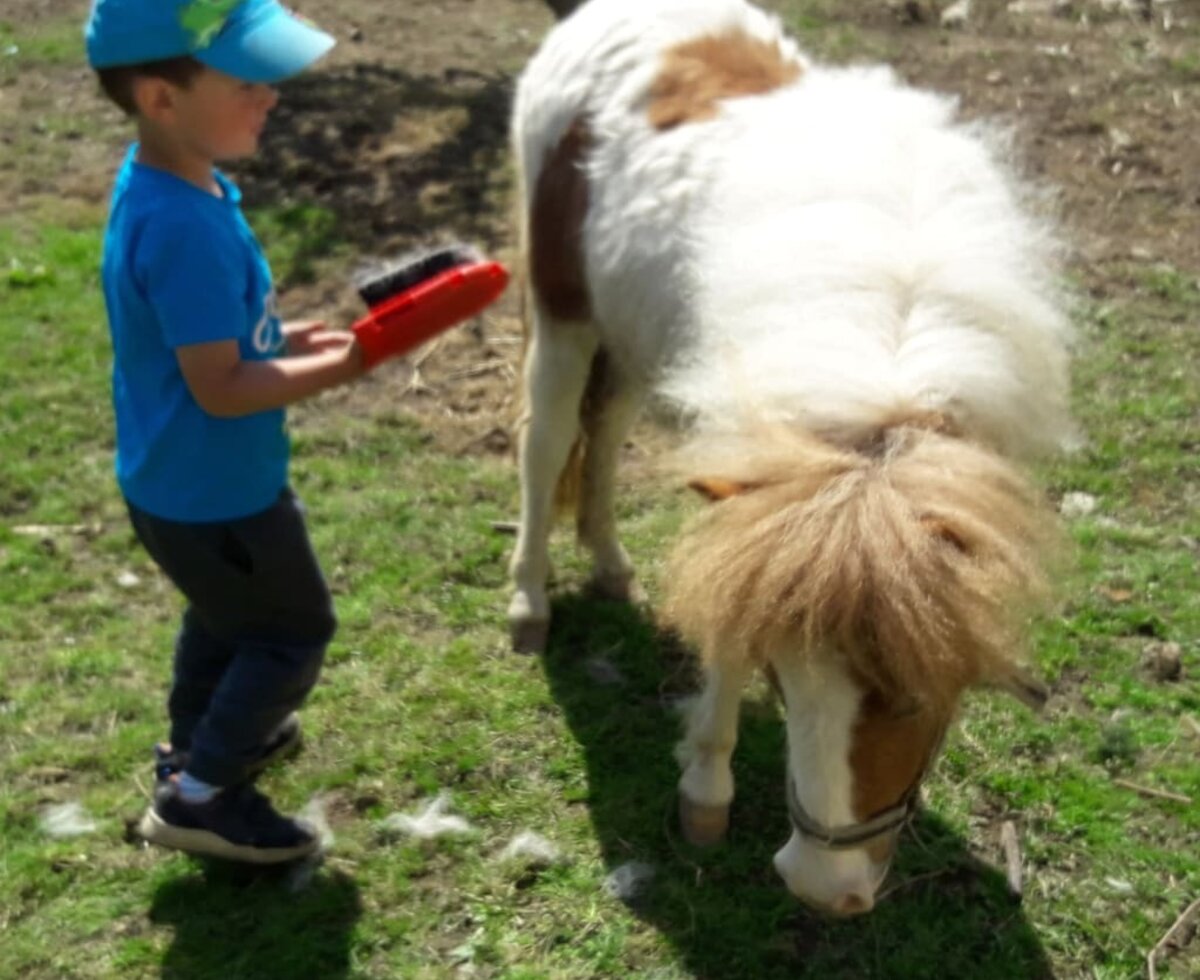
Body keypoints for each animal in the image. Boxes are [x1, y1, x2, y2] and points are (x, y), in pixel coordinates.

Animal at [506, 1, 1070, 916]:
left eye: (914, 698)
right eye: (781, 676)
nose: (823, 888)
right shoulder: (759, 500)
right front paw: (705, 791)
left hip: (635, 337)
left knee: (608, 427)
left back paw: (609, 564)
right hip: (564, 315)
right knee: (546, 438)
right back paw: (528, 602)